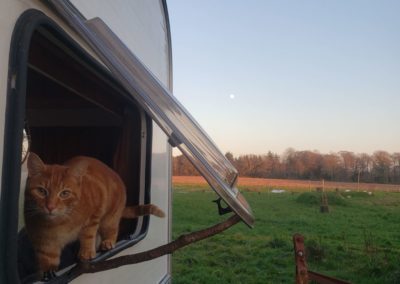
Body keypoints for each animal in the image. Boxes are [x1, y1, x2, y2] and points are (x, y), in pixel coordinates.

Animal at [24, 153, 165, 276]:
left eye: (64, 193)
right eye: (41, 191)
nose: (50, 207)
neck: (58, 222)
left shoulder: (94, 214)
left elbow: (88, 234)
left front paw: (86, 251)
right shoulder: (43, 240)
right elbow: (47, 258)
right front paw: (48, 270)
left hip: (109, 219)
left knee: (112, 229)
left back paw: (108, 241)